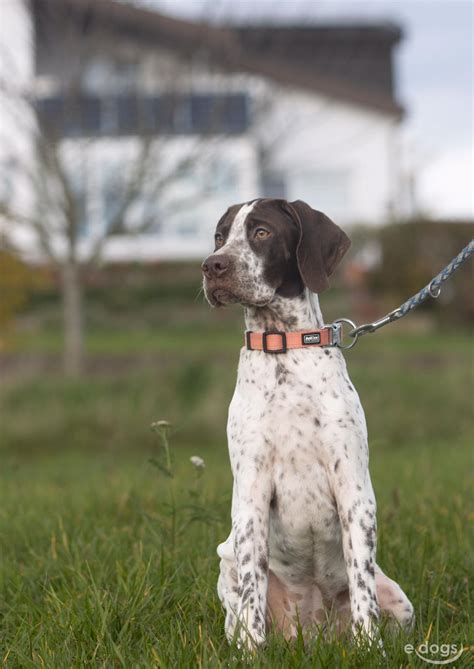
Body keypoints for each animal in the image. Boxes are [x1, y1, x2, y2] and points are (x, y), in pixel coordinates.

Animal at [202, 198, 412, 648]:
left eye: (261, 232)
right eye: (219, 236)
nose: (212, 266)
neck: (281, 345)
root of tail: (312, 633)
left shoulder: (353, 489)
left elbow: (361, 587)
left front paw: (370, 649)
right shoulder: (251, 494)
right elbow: (253, 590)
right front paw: (252, 653)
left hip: (399, 602)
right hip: (227, 566)